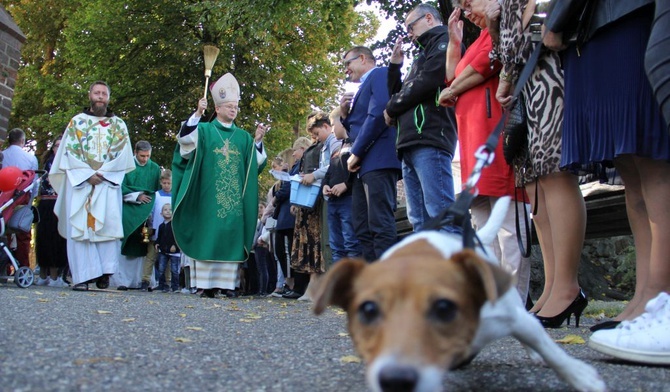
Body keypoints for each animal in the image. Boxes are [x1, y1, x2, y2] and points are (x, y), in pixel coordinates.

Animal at [312, 199, 608, 392]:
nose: (396, 380)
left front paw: (580, 376)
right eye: (368, 310)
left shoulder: (511, 318)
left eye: (444, 308)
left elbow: (552, 351)